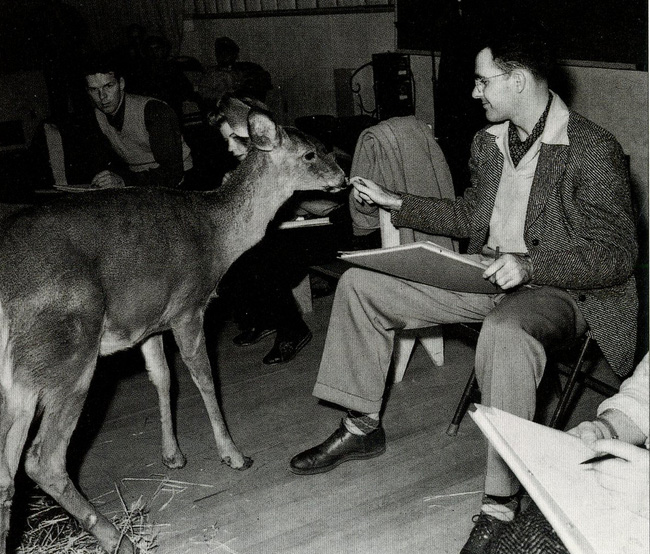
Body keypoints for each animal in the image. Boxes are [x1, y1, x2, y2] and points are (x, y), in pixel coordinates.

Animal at [0, 110, 346, 548]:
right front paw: (234, 455)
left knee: (7, 472)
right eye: (310, 153)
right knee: (43, 460)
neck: (218, 235)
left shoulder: (149, 324)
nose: (343, 177)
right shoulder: (187, 307)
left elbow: (163, 378)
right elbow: (204, 377)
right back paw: (121, 540)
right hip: (69, 355)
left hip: (22, 380)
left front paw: (173, 456)